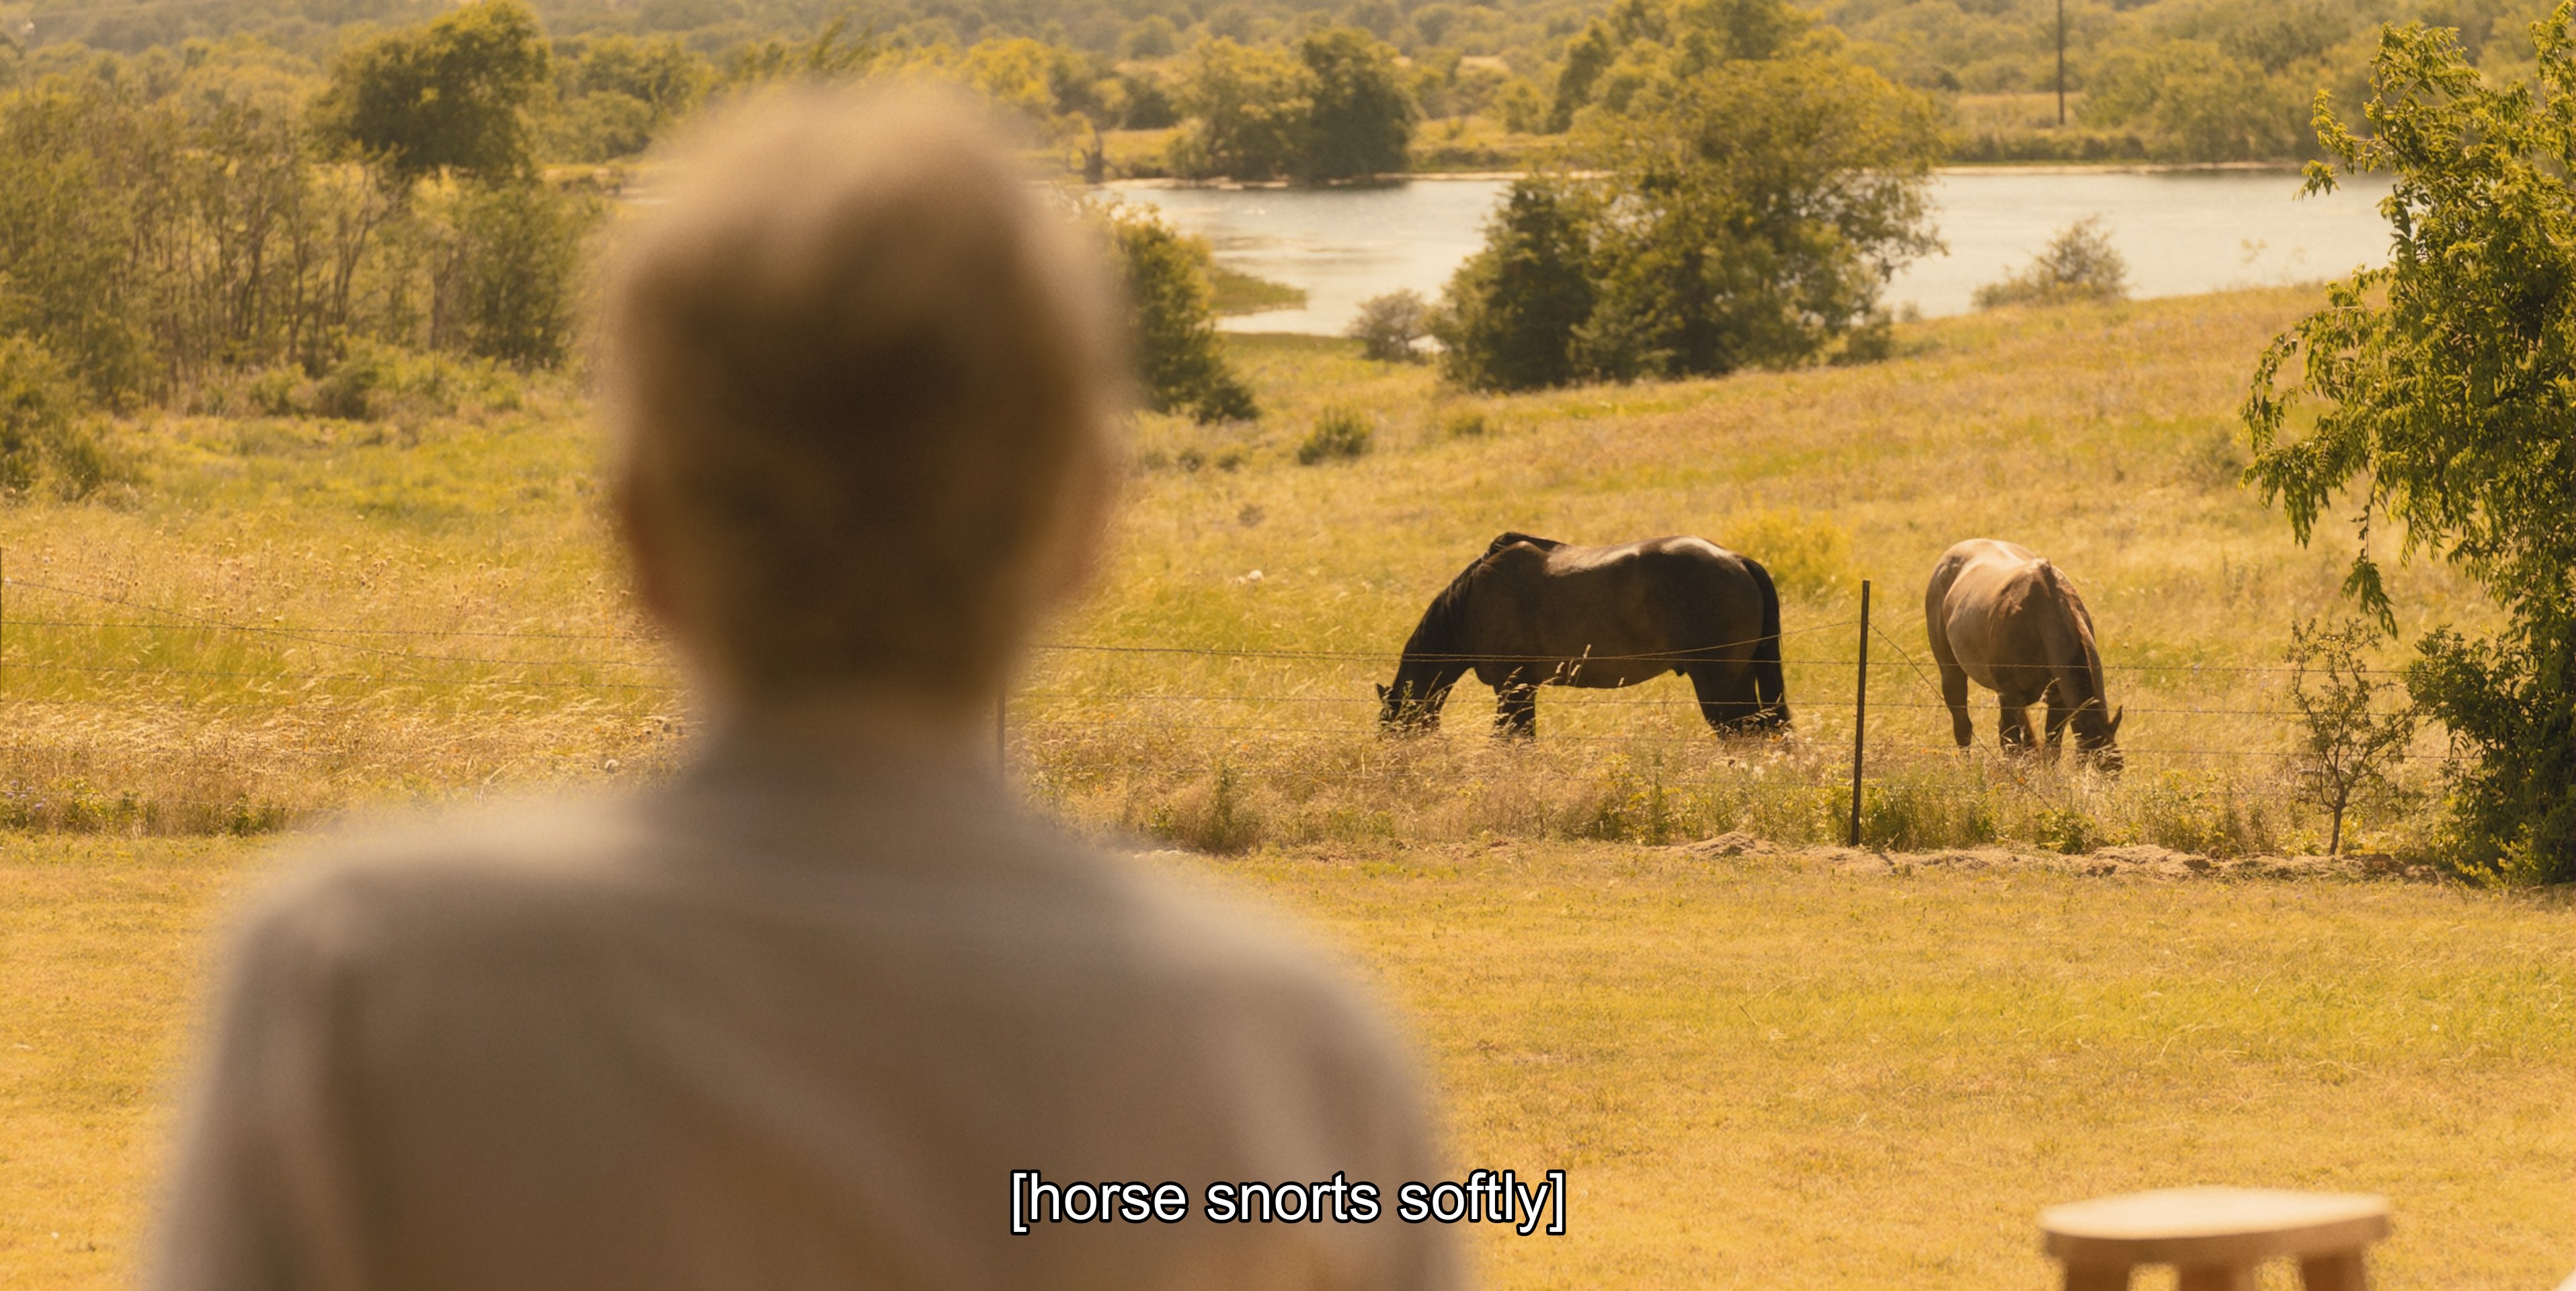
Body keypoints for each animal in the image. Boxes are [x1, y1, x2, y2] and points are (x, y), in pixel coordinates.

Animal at [1376, 532, 1788, 738]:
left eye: (1390, 729)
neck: (1473, 599)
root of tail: (1737, 560)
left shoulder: (1513, 689)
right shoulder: (1524, 690)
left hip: (1720, 685)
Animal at [1923, 538, 2123, 772]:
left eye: (2118, 769)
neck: (2042, 614)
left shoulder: (2058, 700)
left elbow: (2051, 747)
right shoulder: (2011, 694)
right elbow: (2017, 744)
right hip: (1952, 673)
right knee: (1964, 726)